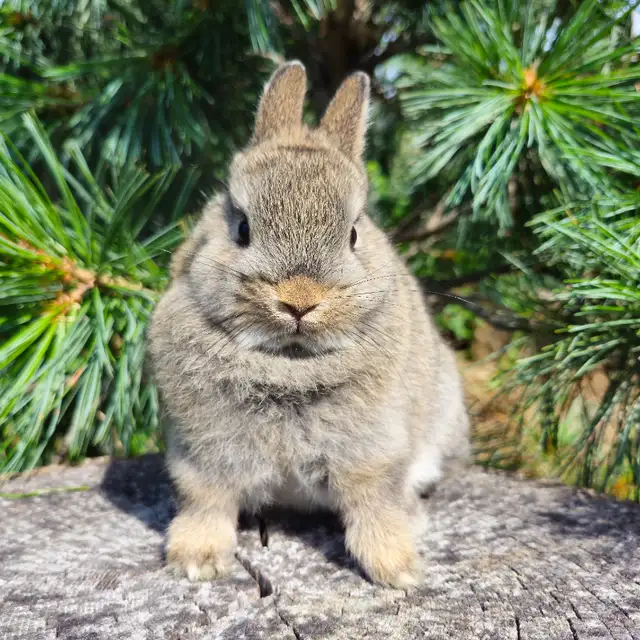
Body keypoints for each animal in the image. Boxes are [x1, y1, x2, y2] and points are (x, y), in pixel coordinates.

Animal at [147, 60, 470, 589]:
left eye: (354, 233)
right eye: (242, 229)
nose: (300, 301)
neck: (290, 361)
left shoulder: (373, 455)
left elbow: (374, 508)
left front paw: (398, 571)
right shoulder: (202, 457)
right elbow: (206, 503)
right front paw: (197, 562)